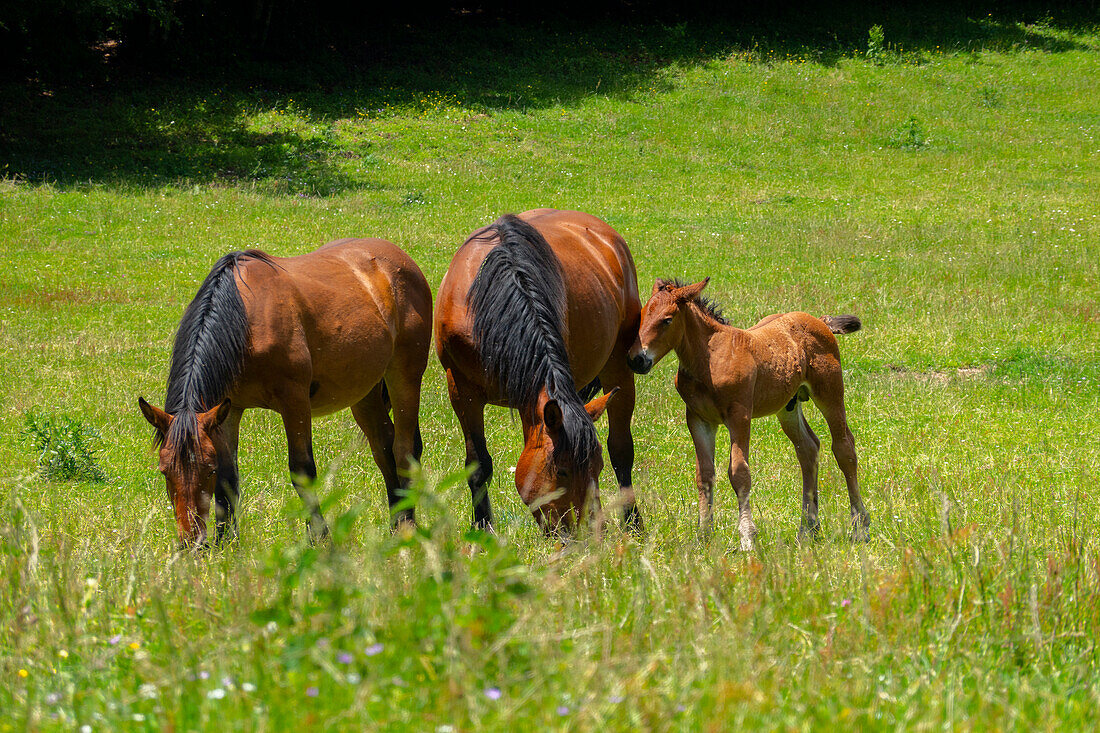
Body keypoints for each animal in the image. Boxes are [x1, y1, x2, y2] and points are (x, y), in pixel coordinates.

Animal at [136, 239, 429, 548]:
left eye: (207, 469)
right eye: (165, 471)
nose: (192, 543)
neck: (246, 320)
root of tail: (400, 259)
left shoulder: (294, 401)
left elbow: (302, 470)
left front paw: (319, 537)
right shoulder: (228, 410)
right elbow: (229, 479)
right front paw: (226, 542)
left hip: (405, 377)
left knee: (403, 449)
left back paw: (408, 526)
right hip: (364, 393)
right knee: (384, 448)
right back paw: (396, 523)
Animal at [433, 208, 642, 534]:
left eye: (597, 468)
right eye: (563, 471)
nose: (589, 531)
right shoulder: (460, 388)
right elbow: (478, 464)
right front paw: (482, 527)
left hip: (618, 365)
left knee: (621, 450)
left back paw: (633, 523)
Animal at [629, 278, 866, 548]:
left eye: (667, 319)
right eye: (641, 315)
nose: (637, 360)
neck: (709, 359)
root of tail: (820, 320)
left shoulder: (739, 415)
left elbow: (739, 472)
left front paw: (747, 537)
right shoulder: (699, 419)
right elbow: (704, 474)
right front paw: (704, 536)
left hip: (830, 391)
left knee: (844, 447)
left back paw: (859, 527)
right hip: (788, 405)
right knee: (808, 448)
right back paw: (808, 529)